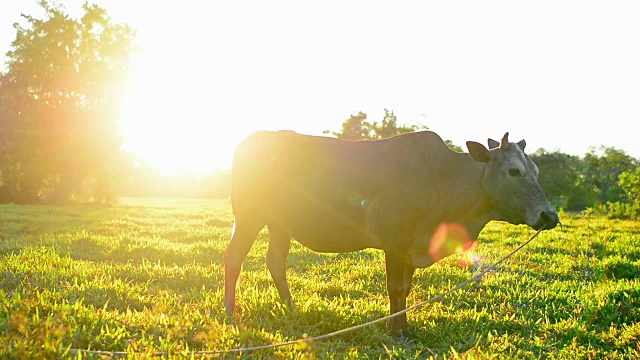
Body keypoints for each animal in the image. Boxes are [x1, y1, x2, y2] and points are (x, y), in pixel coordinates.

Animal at [225, 130, 560, 338]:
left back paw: (291, 308)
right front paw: (396, 330)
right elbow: (396, 288)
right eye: (514, 171)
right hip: (249, 215)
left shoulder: (412, 248)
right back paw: (230, 314)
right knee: (234, 258)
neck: (443, 181)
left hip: (279, 223)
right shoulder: (395, 243)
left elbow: (406, 290)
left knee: (275, 261)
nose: (550, 216)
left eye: (537, 172)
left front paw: (404, 327)